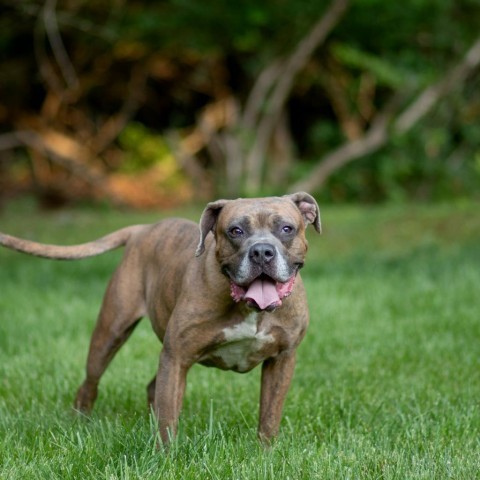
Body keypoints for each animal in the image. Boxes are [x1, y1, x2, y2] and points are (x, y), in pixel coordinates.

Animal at [1, 193, 322, 444]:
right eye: (235, 231)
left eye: (286, 228)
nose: (262, 251)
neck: (248, 308)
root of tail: (142, 229)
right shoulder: (177, 356)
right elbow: (169, 419)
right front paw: (166, 458)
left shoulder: (282, 360)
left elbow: (269, 416)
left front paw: (265, 454)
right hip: (111, 332)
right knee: (91, 381)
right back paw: (80, 422)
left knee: (152, 388)